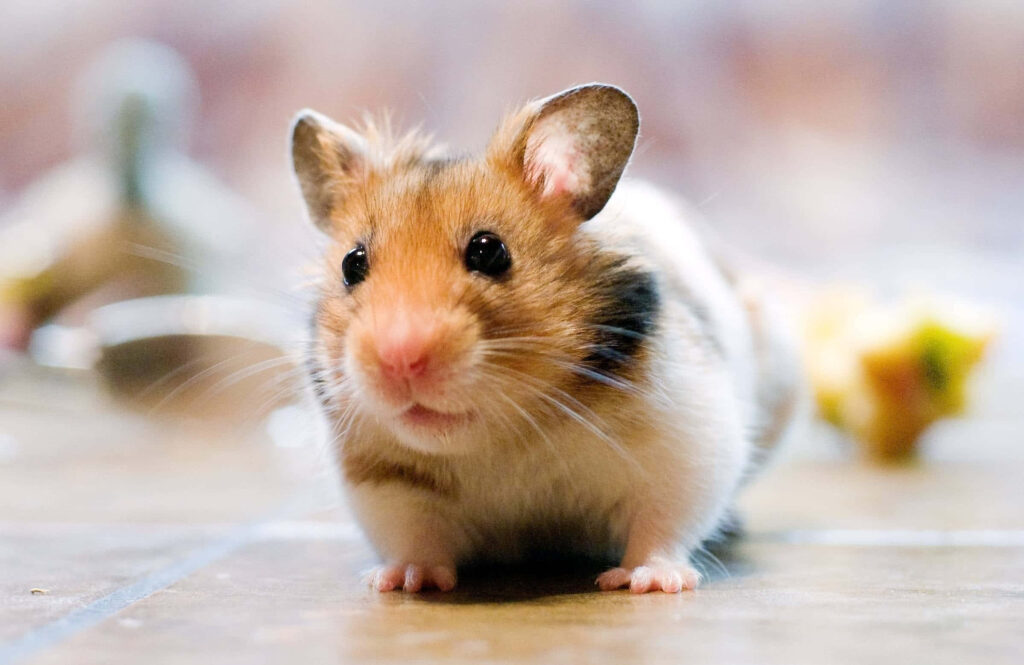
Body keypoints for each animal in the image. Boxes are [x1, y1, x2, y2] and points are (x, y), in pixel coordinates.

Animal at [290, 84, 801, 593]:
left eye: (489, 251)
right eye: (352, 264)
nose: (399, 360)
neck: (506, 436)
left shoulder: (687, 444)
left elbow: (662, 523)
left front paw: (648, 582)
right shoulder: (383, 483)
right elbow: (414, 535)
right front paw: (401, 582)